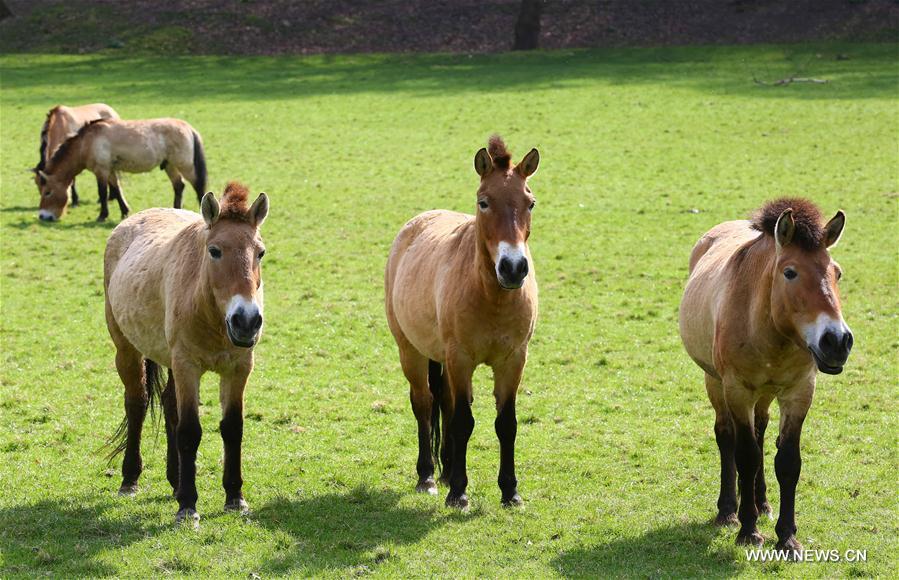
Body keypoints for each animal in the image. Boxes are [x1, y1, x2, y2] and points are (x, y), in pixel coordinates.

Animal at [36, 117, 207, 222]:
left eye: (48, 192)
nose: (43, 216)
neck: (87, 141)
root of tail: (189, 128)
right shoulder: (110, 170)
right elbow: (117, 190)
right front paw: (124, 211)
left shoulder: (101, 170)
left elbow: (103, 193)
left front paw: (102, 216)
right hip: (169, 165)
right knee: (179, 186)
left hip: (185, 165)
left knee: (198, 186)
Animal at [103, 182, 268, 524]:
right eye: (214, 250)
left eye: (260, 252)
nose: (246, 321)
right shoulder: (187, 367)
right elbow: (190, 431)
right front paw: (188, 506)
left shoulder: (238, 368)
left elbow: (232, 428)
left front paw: (235, 497)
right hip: (127, 349)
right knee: (137, 403)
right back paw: (130, 479)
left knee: (168, 404)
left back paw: (175, 480)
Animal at [386, 136, 540, 508]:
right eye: (483, 202)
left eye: (530, 203)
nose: (513, 268)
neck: (491, 296)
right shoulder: (461, 358)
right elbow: (462, 422)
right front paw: (458, 491)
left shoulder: (514, 360)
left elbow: (506, 423)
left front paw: (510, 491)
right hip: (411, 351)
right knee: (424, 403)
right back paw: (428, 476)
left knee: (444, 400)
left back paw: (444, 472)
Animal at [680, 198, 856, 552]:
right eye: (790, 272)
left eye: (837, 272)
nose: (837, 341)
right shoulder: (737, 390)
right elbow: (745, 456)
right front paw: (748, 530)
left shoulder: (799, 392)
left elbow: (786, 461)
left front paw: (787, 536)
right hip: (715, 383)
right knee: (727, 437)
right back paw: (728, 511)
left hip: (765, 394)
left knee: (760, 434)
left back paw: (761, 503)